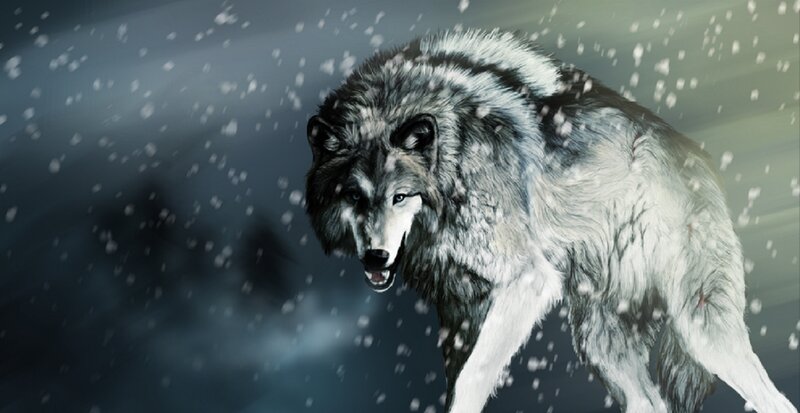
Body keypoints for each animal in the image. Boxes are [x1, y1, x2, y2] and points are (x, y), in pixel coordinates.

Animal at [304, 29, 797, 413]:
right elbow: (457, 382)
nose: (375, 257)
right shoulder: (459, 311)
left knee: (774, 398)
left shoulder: (528, 281)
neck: (454, 161)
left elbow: (473, 378)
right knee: (649, 401)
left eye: (400, 196)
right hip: (600, 342)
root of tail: (701, 159)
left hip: (700, 329)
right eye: (354, 196)